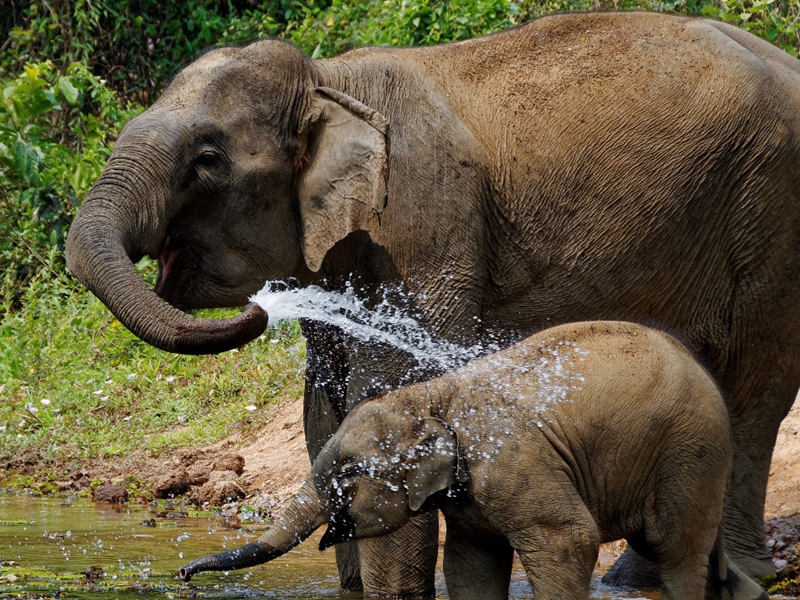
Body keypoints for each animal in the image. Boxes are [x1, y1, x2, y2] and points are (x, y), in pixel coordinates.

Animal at [178, 321, 768, 600]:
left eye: (347, 474)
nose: (183, 573)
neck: (432, 395)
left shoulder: (511, 461)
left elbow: (568, 540)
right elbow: (470, 564)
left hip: (689, 448)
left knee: (675, 550)